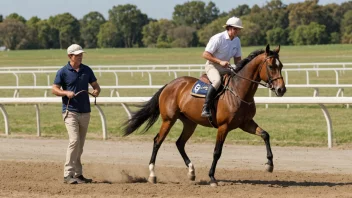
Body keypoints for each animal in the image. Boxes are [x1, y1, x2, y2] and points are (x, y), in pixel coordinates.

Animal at [122, 44, 284, 186]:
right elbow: (217, 152)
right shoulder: (224, 127)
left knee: (180, 143)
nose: (281, 89)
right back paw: (152, 174)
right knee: (157, 141)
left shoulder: (246, 123)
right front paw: (212, 177)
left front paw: (269, 164)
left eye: (281, 66)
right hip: (168, 120)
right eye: (271, 66)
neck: (238, 90)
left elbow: (265, 135)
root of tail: (170, 85)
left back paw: (191, 171)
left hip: (190, 123)